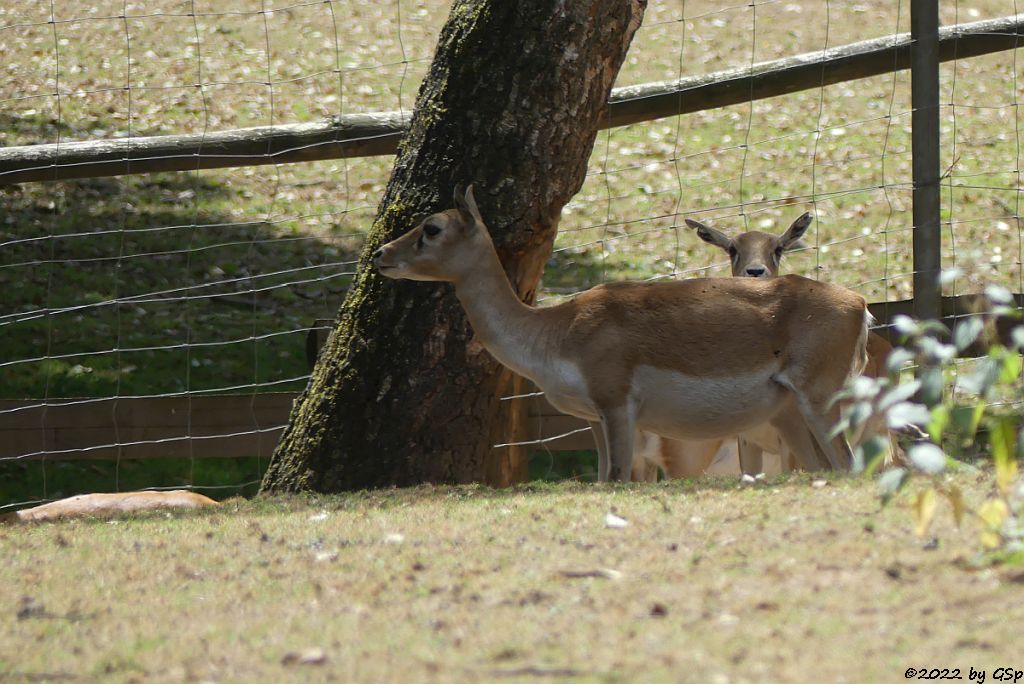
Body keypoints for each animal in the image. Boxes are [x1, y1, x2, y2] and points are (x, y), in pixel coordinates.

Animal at [376, 185, 872, 481]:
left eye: (432, 227)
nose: (381, 254)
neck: (558, 329)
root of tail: (860, 305)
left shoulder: (617, 407)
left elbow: (615, 479)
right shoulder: (595, 419)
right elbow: (601, 480)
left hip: (819, 402)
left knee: (848, 465)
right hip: (788, 415)